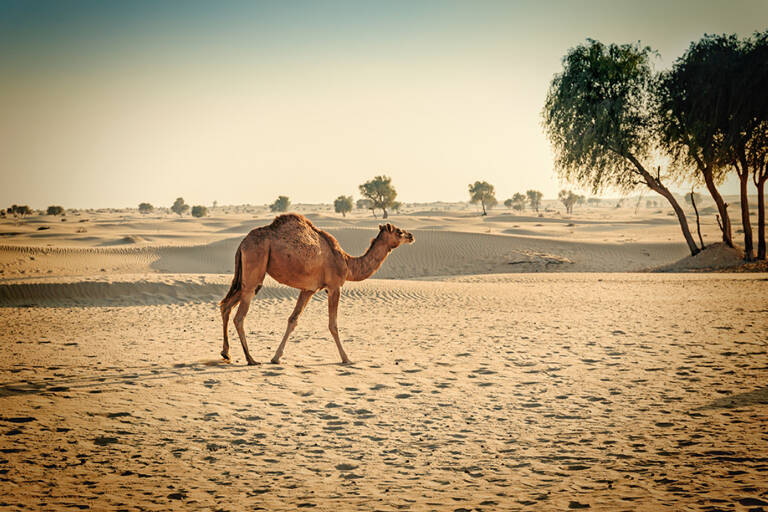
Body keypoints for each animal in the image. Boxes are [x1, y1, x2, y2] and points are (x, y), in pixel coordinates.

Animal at [219, 213, 414, 365]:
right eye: (398, 231)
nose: (411, 235)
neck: (347, 263)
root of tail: (242, 244)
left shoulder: (308, 289)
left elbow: (293, 320)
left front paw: (276, 357)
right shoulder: (334, 287)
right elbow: (333, 324)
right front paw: (346, 358)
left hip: (245, 277)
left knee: (225, 305)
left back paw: (226, 353)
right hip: (255, 268)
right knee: (239, 317)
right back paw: (250, 359)